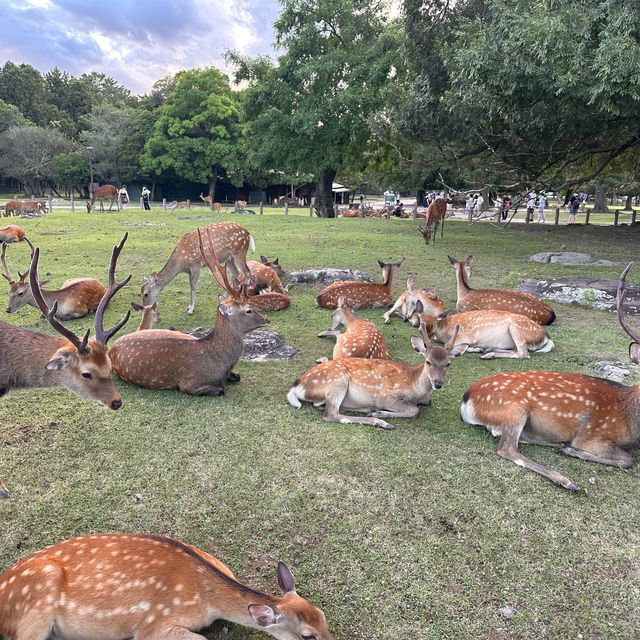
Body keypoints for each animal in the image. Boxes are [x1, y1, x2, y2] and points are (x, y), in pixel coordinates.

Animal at [112, 225, 268, 396]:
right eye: (248, 311)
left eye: (145, 293)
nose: (266, 319)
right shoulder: (189, 384)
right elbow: (221, 390)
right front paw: (190, 307)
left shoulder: (195, 266)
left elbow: (192, 287)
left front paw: (191, 308)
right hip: (230, 257)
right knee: (238, 275)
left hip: (237, 253)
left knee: (245, 274)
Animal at [288, 324, 458, 430]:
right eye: (428, 361)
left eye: (448, 363)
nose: (438, 383)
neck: (415, 387)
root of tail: (297, 385)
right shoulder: (385, 396)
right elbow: (415, 410)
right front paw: (380, 412)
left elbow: (423, 405)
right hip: (338, 381)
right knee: (331, 414)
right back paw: (380, 421)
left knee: (323, 406)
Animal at [418, 306, 552, 358]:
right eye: (420, 324)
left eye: (433, 327)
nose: (425, 343)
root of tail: (547, 337)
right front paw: (478, 349)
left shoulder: (468, 336)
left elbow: (450, 345)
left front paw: (475, 349)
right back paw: (488, 350)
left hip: (516, 328)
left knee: (523, 353)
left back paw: (488, 354)